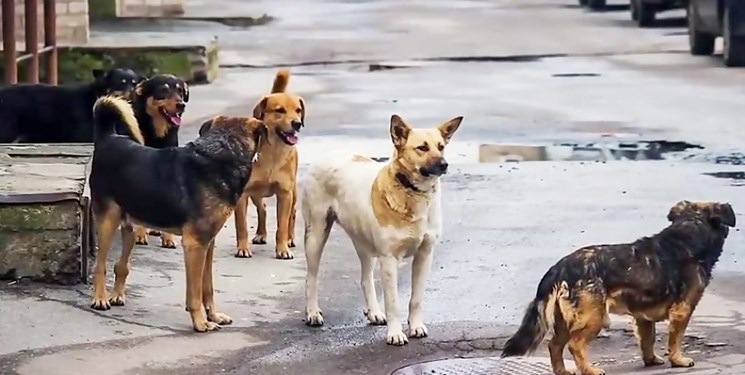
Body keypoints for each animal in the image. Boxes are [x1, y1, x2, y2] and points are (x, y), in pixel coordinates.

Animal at [88, 95, 266, 334]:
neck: (222, 152)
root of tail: (108, 137)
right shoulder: (194, 245)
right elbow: (195, 293)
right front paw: (200, 322)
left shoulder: (208, 244)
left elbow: (207, 287)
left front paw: (214, 316)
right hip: (108, 220)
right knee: (100, 266)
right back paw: (100, 298)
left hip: (130, 226)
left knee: (121, 265)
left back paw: (117, 295)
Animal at [199, 69, 304, 260]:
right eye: (279, 110)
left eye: (298, 111)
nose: (297, 124)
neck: (272, 154)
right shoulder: (242, 195)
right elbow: (242, 225)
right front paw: (243, 248)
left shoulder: (284, 194)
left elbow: (282, 225)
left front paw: (283, 248)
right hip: (256, 194)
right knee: (262, 209)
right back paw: (261, 234)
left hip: (292, 193)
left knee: (291, 214)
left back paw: (290, 238)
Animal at [300, 114, 462, 346]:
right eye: (422, 148)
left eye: (441, 147)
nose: (444, 164)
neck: (412, 192)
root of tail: (327, 154)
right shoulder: (389, 260)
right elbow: (393, 302)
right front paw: (395, 333)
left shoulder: (424, 255)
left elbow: (416, 299)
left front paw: (416, 326)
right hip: (316, 235)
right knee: (311, 278)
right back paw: (313, 313)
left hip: (364, 243)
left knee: (365, 279)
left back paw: (374, 312)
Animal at [500, 201, 732, 375]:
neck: (689, 230)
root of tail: (560, 267)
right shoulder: (682, 310)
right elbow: (675, 340)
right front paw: (678, 360)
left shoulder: (642, 316)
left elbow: (647, 340)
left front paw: (651, 360)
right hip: (594, 317)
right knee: (575, 345)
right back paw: (590, 370)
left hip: (564, 320)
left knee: (554, 345)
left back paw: (563, 371)